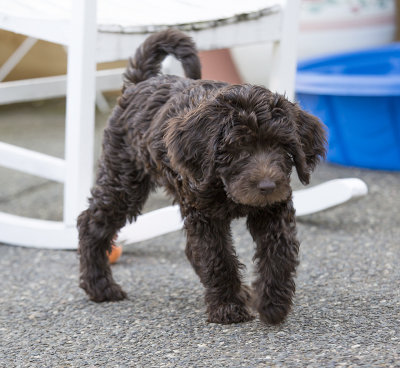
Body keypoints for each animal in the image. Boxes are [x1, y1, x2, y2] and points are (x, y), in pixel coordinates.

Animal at [76, 28, 326, 324]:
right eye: (238, 149)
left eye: (281, 147)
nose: (266, 185)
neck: (223, 185)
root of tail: (141, 82)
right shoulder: (205, 215)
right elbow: (217, 257)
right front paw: (228, 307)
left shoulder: (273, 208)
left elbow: (280, 251)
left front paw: (273, 302)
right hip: (124, 180)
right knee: (91, 223)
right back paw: (99, 286)